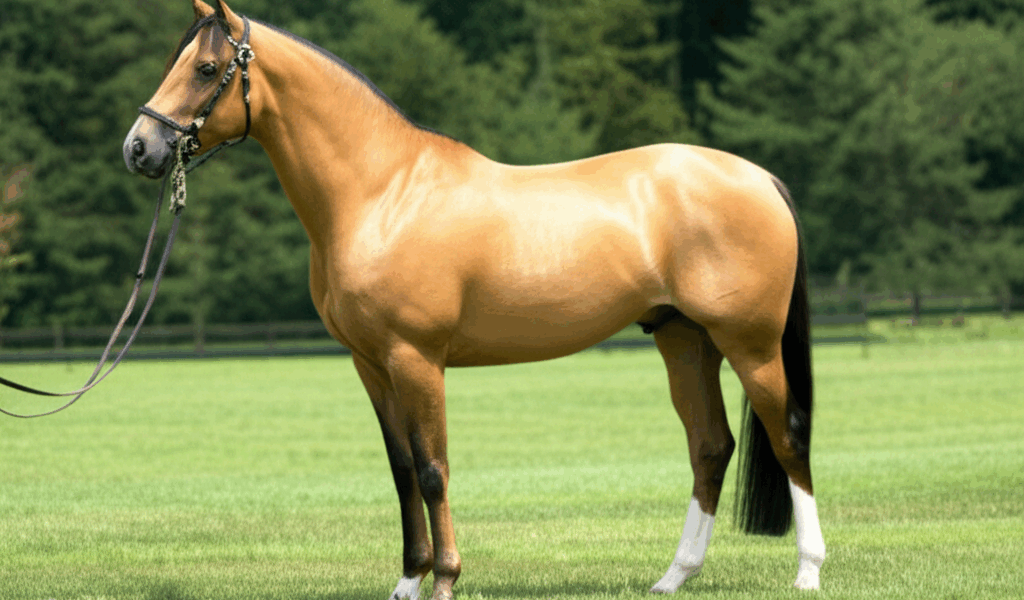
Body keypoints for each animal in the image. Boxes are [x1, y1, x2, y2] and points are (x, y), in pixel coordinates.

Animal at [123, 2, 826, 598]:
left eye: (206, 68)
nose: (139, 148)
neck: (382, 193)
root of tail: (758, 176)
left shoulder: (416, 359)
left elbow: (433, 468)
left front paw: (444, 579)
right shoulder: (371, 364)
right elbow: (402, 469)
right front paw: (408, 581)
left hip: (750, 344)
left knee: (788, 435)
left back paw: (808, 571)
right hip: (685, 341)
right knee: (711, 447)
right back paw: (674, 576)